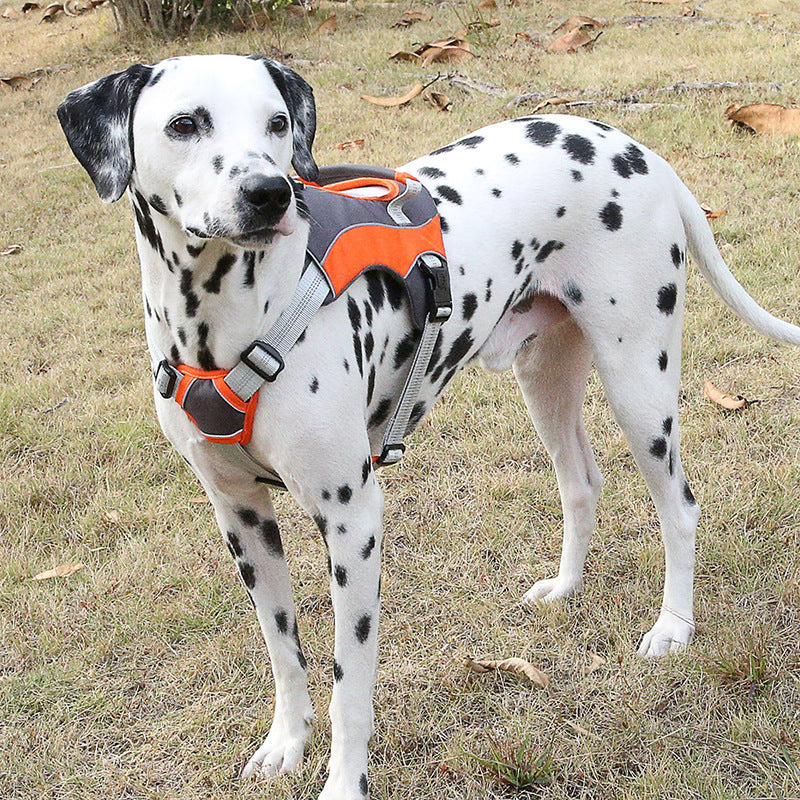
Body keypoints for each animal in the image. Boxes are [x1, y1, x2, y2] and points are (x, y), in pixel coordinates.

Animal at [59, 54, 800, 800]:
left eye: (277, 122)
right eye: (185, 124)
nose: (269, 192)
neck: (228, 319)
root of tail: (638, 149)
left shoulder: (352, 520)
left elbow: (348, 684)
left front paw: (344, 782)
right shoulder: (240, 516)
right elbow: (284, 652)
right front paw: (286, 743)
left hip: (638, 385)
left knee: (679, 506)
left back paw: (673, 627)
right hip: (546, 381)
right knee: (581, 484)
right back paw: (565, 588)